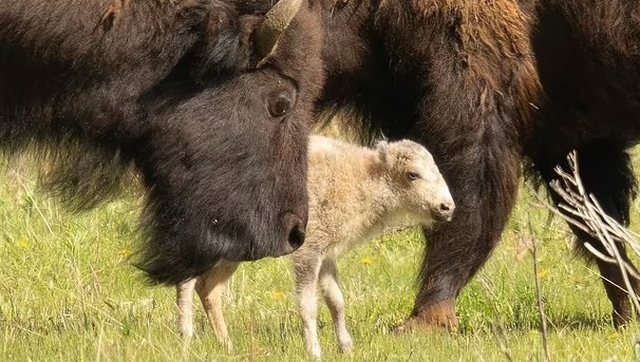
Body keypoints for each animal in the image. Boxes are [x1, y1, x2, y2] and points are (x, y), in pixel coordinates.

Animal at [178, 135, 452, 356]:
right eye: (413, 174)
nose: (447, 207)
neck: (364, 177)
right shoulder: (308, 254)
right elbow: (308, 304)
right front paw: (315, 351)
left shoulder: (327, 256)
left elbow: (336, 300)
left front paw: (347, 347)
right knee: (188, 282)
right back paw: (187, 337)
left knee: (208, 289)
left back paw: (227, 345)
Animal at [316, 0, 640, 328]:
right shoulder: (571, 140)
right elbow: (599, 227)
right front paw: (627, 312)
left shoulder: (475, 101)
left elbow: (469, 199)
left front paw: (426, 319)